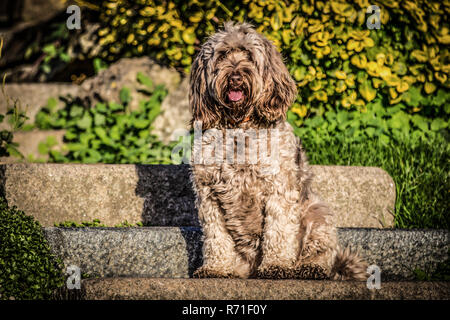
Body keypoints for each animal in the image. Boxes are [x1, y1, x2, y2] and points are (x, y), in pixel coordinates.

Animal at [188, 21, 368, 280]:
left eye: (249, 56)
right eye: (222, 55)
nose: (235, 77)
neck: (238, 127)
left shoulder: (279, 189)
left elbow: (278, 231)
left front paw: (276, 266)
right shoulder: (208, 195)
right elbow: (215, 237)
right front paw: (216, 268)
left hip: (317, 212)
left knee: (322, 252)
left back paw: (310, 268)